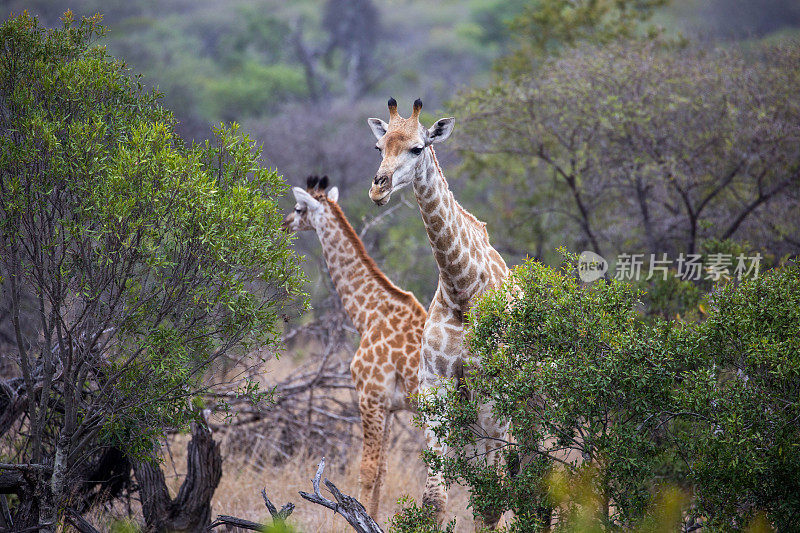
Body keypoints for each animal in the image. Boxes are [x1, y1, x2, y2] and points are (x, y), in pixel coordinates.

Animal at [282, 177, 428, 516]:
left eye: (299, 208)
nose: (285, 223)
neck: (369, 314)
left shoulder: (369, 396)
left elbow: (367, 470)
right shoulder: (390, 406)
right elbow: (383, 472)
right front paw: (374, 519)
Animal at [366, 96, 510, 528]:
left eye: (418, 148)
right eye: (379, 147)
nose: (378, 188)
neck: (462, 288)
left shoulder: (492, 392)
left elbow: (491, 504)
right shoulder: (436, 386)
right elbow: (435, 497)